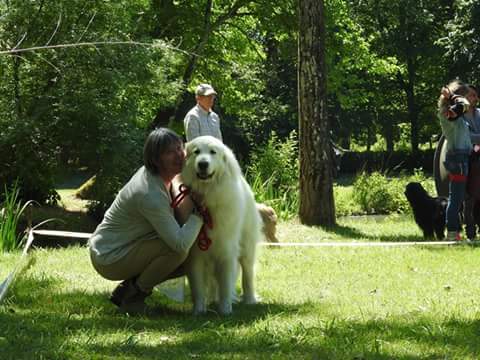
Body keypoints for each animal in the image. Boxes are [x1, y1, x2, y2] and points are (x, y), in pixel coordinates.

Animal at [181, 136, 262, 316]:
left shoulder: (226, 252)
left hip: (247, 247)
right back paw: (212, 300)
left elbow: (225, 284)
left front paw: (225, 310)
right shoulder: (195, 256)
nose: (203, 164)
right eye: (196, 152)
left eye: (213, 152)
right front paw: (198, 311)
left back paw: (250, 300)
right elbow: (198, 287)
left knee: (247, 274)